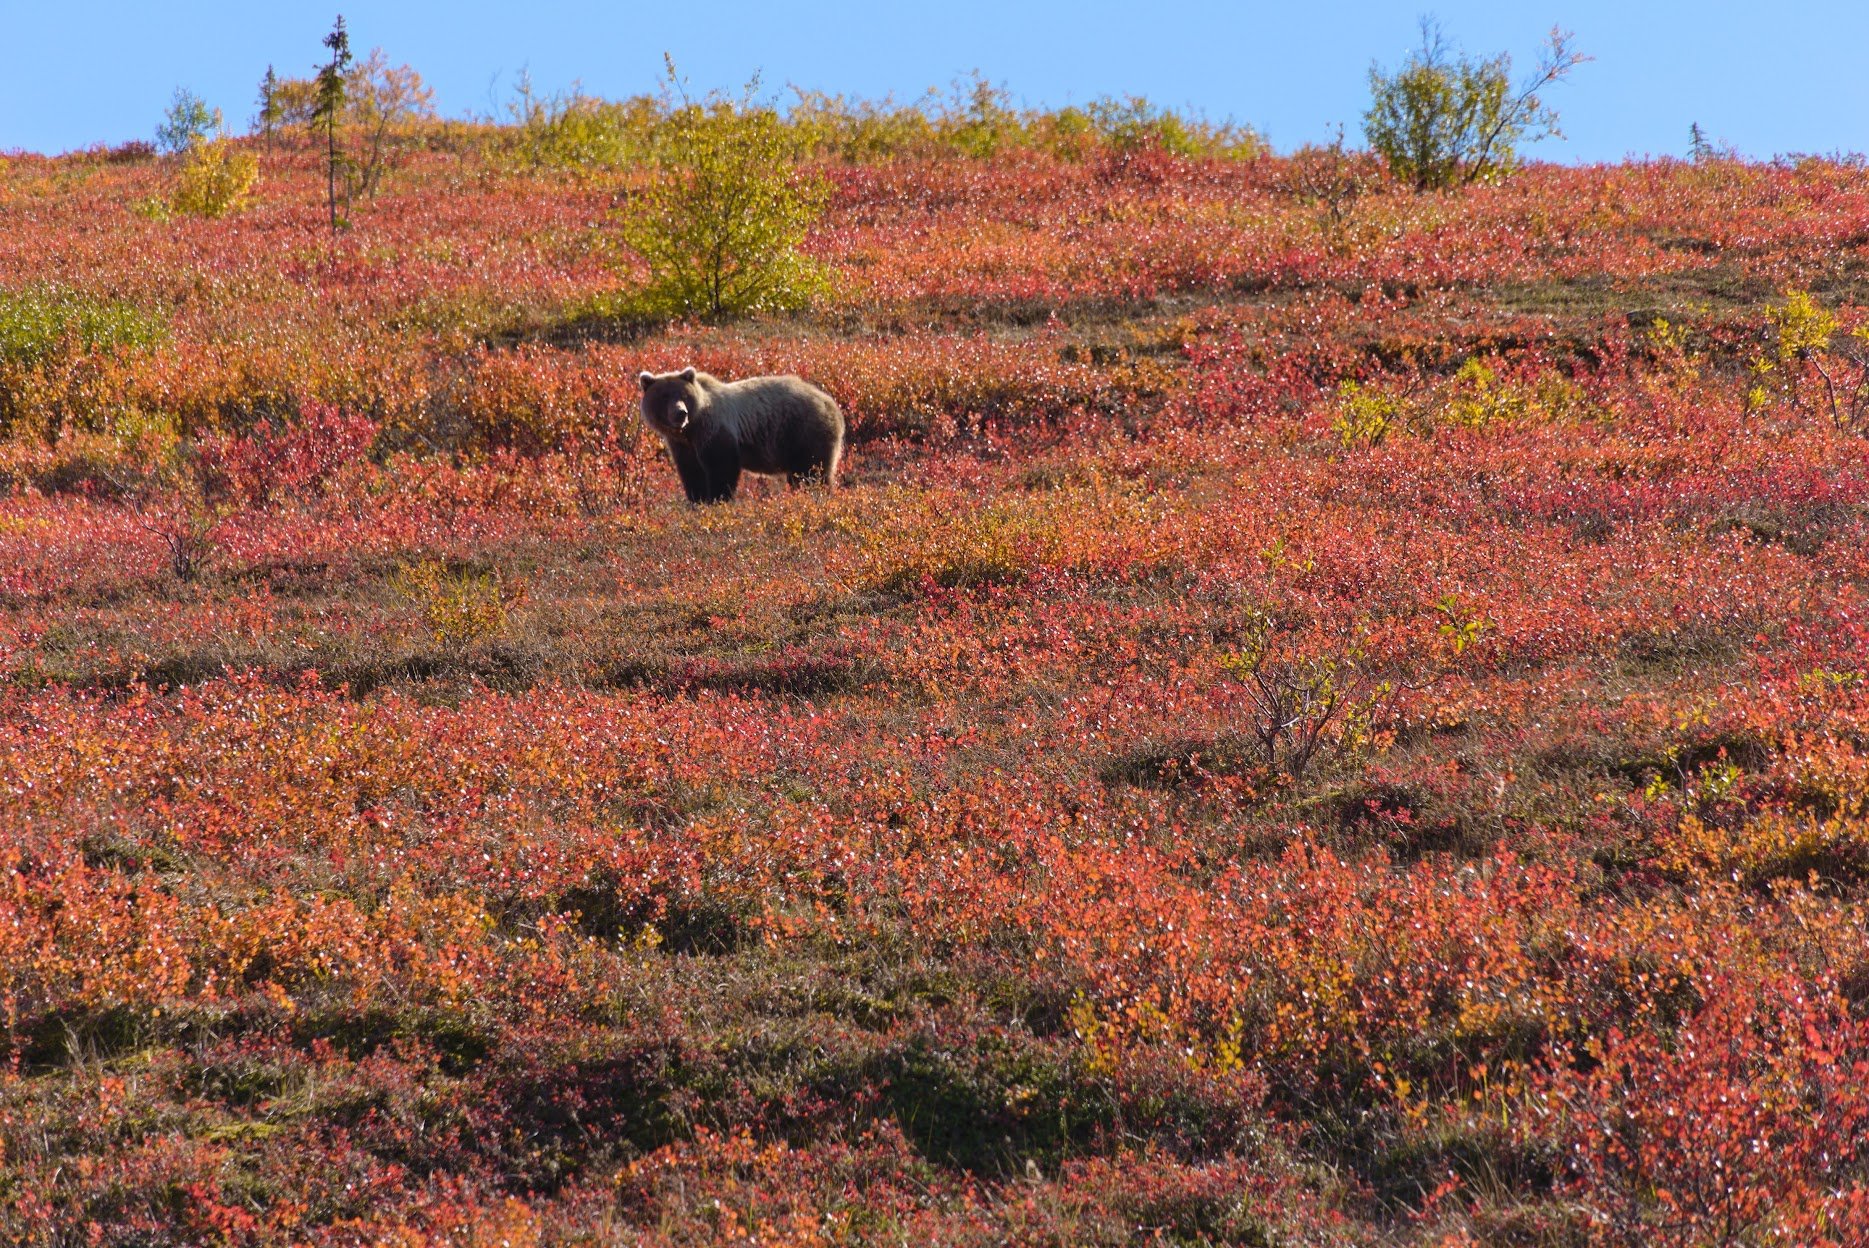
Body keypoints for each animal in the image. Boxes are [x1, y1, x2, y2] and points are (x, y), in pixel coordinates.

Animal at [638, 367, 845, 504]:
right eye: (664, 396)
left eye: (683, 395)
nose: (680, 413)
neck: (690, 430)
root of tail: (831, 403)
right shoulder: (683, 446)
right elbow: (691, 472)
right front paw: (697, 499)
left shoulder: (714, 430)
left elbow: (721, 467)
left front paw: (718, 499)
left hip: (803, 432)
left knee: (811, 472)